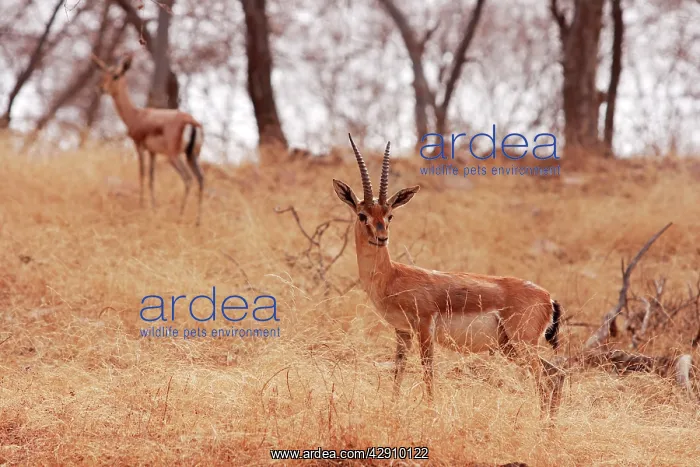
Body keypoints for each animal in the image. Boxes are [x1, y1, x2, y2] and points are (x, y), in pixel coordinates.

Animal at [91, 53, 205, 225]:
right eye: (103, 74)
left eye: (116, 75)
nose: (101, 88)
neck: (137, 115)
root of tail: (191, 121)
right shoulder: (153, 152)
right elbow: (151, 178)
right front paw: (153, 207)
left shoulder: (139, 146)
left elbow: (142, 174)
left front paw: (141, 206)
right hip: (192, 155)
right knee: (201, 179)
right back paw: (197, 221)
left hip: (174, 156)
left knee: (188, 178)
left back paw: (180, 216)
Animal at [332, 134, 566, 417]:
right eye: (362, 214)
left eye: (390, 215)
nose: (381, 237)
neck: (392, 276)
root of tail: (548, 298)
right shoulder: (402, 331)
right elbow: (398, 371)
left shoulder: (424, 327)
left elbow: (427, 371)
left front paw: (430, 413)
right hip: (511, 347)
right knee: (557, 374)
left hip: (523, 344)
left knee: (545, 380)